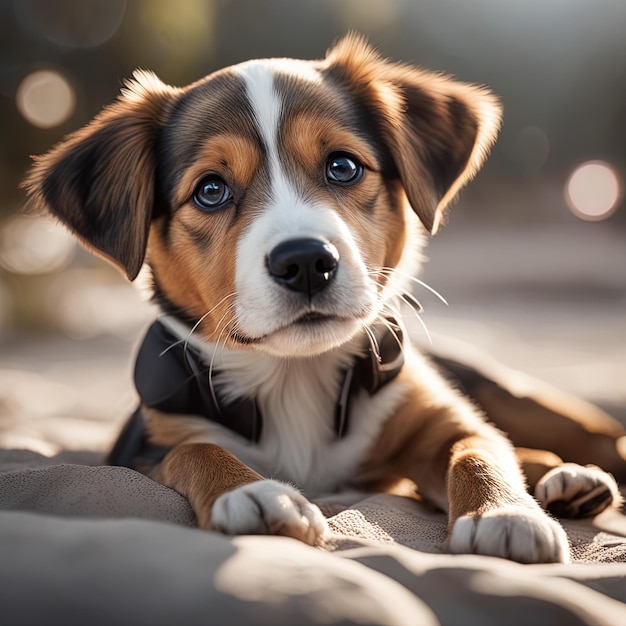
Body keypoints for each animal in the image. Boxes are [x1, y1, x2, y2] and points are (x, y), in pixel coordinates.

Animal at [23, 33, 620, 560]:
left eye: (343, 165)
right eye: (210, 190)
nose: (306, 261)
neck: (296, 375)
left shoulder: (438, 418)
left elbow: (477, 448)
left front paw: (504, 513)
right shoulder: (143, 445)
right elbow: (197, 447)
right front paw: (252, 492)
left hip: (518, 396)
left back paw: (568, 474)